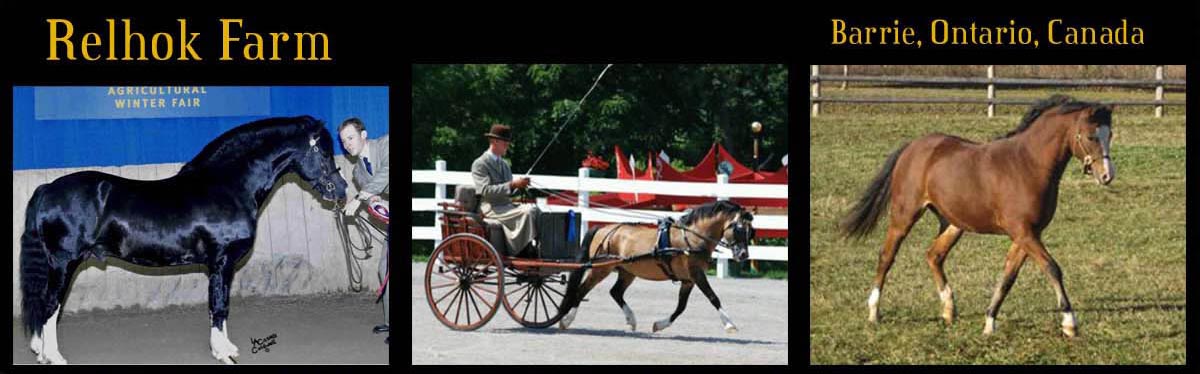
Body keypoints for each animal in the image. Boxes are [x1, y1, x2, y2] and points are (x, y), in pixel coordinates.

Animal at [19, 115, 348, 364]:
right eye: (323, 152)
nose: (342, 189)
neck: (227, 185)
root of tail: (48, 188)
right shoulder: (222, 262)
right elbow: (220, 305)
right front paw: (224, 353)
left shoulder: (219, 265)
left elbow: (218, 305)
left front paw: (224, 348)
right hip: (64, 262)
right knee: (50, 305)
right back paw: (53, 356)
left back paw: (41, 351)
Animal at [559, 201, 748, 333]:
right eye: (738, 229)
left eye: (750, 230)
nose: (743, 255)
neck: (692, 238)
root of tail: (603, 229)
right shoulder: (696, 274)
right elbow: (713, 297)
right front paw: (729, 324)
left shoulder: (688, 280)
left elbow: (681, 307)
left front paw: (660, 325)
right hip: (600, 269)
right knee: (581, 291)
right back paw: (566, 320)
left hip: (627, 272)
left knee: (616, 292)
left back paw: (631, 320)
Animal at [840, 94, 1108, 338]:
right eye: (1092, 136)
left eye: (1110, 135)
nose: (1106, 175)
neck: (1028, 165)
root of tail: (912, 147)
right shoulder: (1023, 232)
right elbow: (1052, 268)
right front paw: (1070, 323)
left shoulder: (1028, 234)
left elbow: (1008, 277)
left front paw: (989, 323)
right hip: (904, 215)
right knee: (887, 256)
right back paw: (874, 312)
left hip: (953, 223)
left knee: (934, 255)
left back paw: (949, 310)